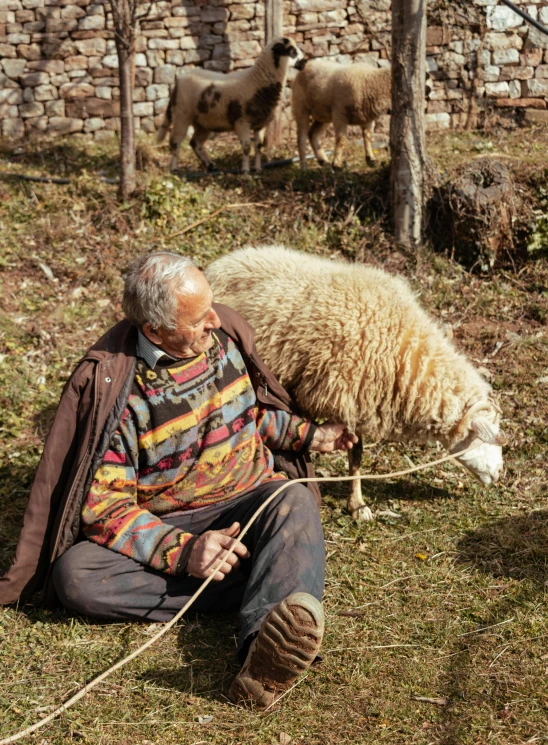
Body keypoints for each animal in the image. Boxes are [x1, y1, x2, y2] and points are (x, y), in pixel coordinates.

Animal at [156, 37, 304, 174]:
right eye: (291, 51)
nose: (304, 61)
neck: (256, 81)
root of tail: (179, 80)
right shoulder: (242, 122)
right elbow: (246, 147)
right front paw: (245, 172)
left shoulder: (260, 124)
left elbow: (258, 147)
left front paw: (258, 169)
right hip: (182, 115)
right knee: (175, 142)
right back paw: (174, 169)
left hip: (203, 122)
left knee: (195, 143)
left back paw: (211, 166)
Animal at [206, 247, 506, 520]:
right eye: (483, 437)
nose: (500, 473)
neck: (404, 349)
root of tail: (222, 263)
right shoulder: (341, 390)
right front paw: (354, 503)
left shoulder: (356, 399)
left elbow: (356, 454)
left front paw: (357, 504)